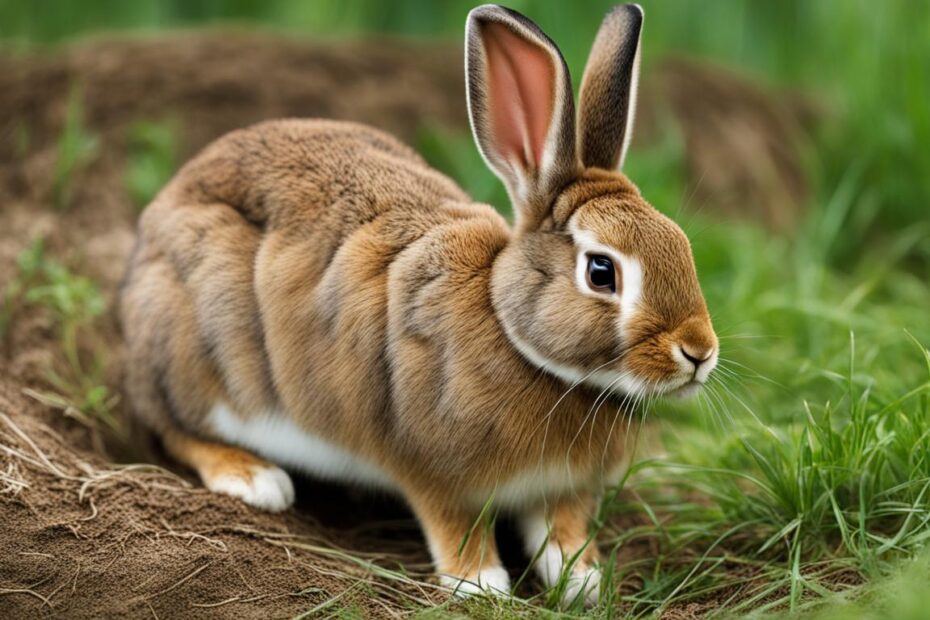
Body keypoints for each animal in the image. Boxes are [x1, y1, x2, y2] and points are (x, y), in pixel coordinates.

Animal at [119, 3, 718, 607]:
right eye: (601, 272)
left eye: (681, 244)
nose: (699, 352)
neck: (515, 335)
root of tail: (152, 231)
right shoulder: (433, 471)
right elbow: (456, 526)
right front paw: (481, 586)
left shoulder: (563, 490)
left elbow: (563, 531)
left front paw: (584, 580)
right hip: (192, 357)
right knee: (172, 427)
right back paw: (254, 478)